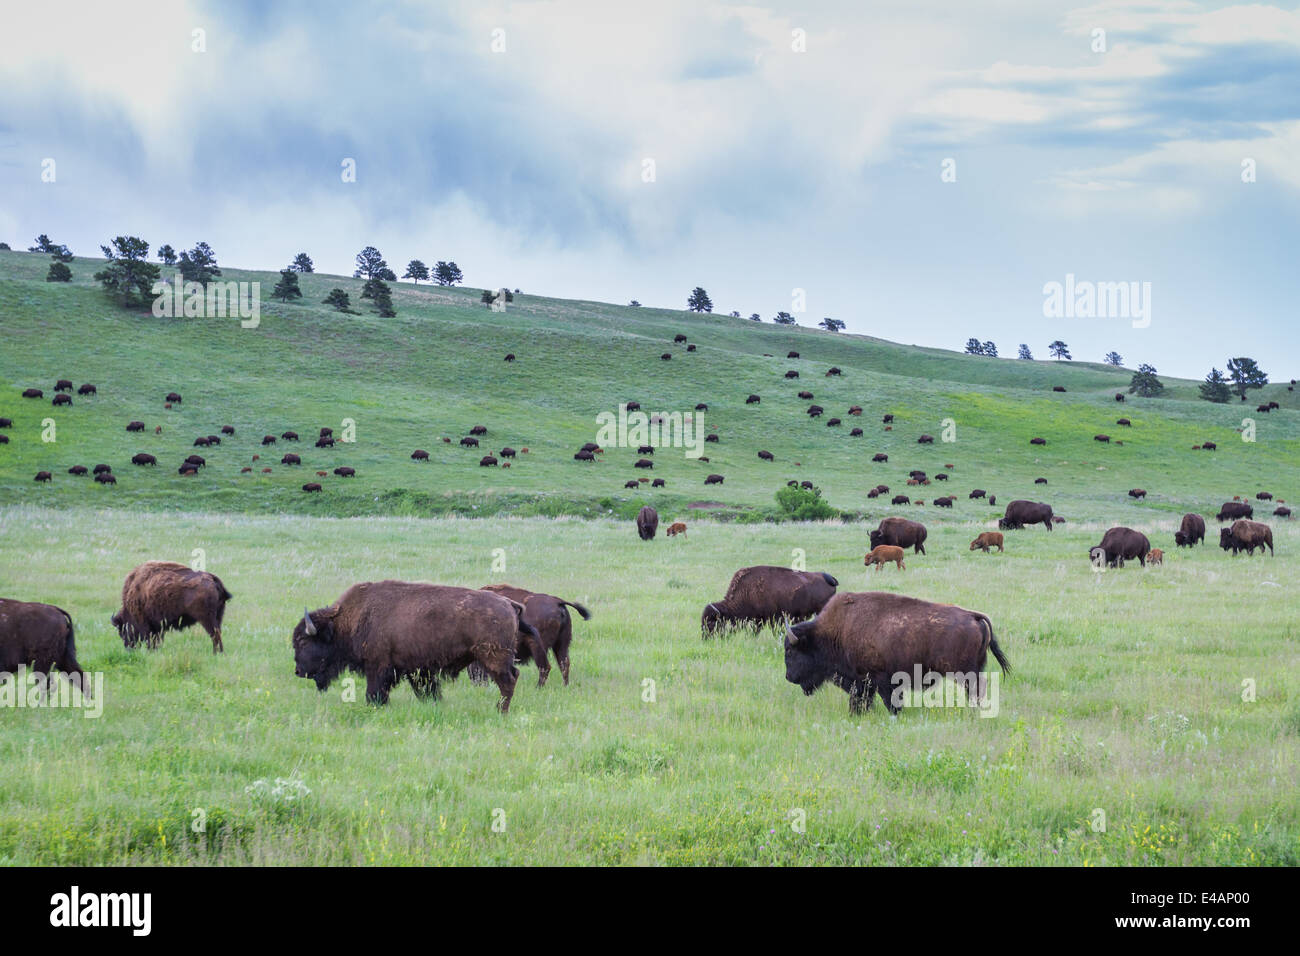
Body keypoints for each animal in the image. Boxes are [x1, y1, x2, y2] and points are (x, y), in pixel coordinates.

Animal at [292, 582, 540, 712]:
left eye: (303, 641)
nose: (298, 671)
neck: (347, 620)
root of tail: (508, 603)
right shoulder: (419, 670)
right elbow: (427, 690)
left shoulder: (378, 666)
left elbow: (374, 692)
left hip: (494, 658)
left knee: (508, 681)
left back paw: (500, 710)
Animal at [774, 595, 1008, 712]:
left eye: (790, 650)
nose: (788, 676)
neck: (834, 633)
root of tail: (973, 616)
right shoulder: (863, 683)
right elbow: (861, 699)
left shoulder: (881, 679)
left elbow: (889, 701)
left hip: (964, 672)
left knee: (975, 688)